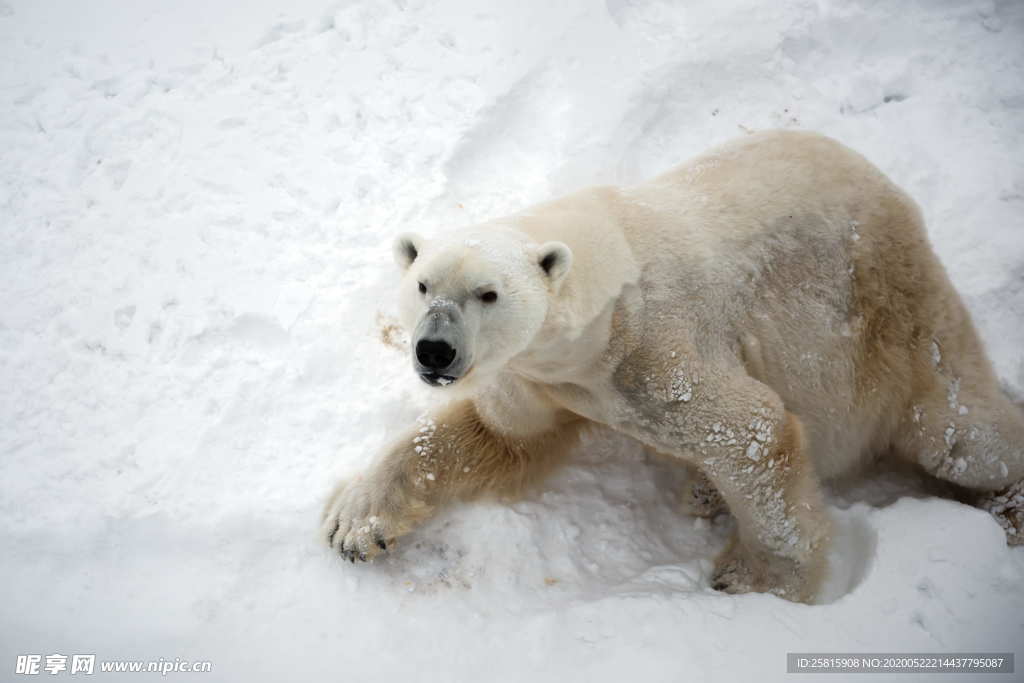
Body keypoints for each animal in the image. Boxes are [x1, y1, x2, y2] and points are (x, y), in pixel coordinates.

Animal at [323, 131, 1024, 602]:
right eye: (422, 284)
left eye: (487, 294)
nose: (434, 351)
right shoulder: (538, 379)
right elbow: (496, 436)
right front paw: (353, 524)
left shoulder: (658, 353)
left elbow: (753, 431)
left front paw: (755, 577)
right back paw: (704, 489)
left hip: (893, 318)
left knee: (959, 435)